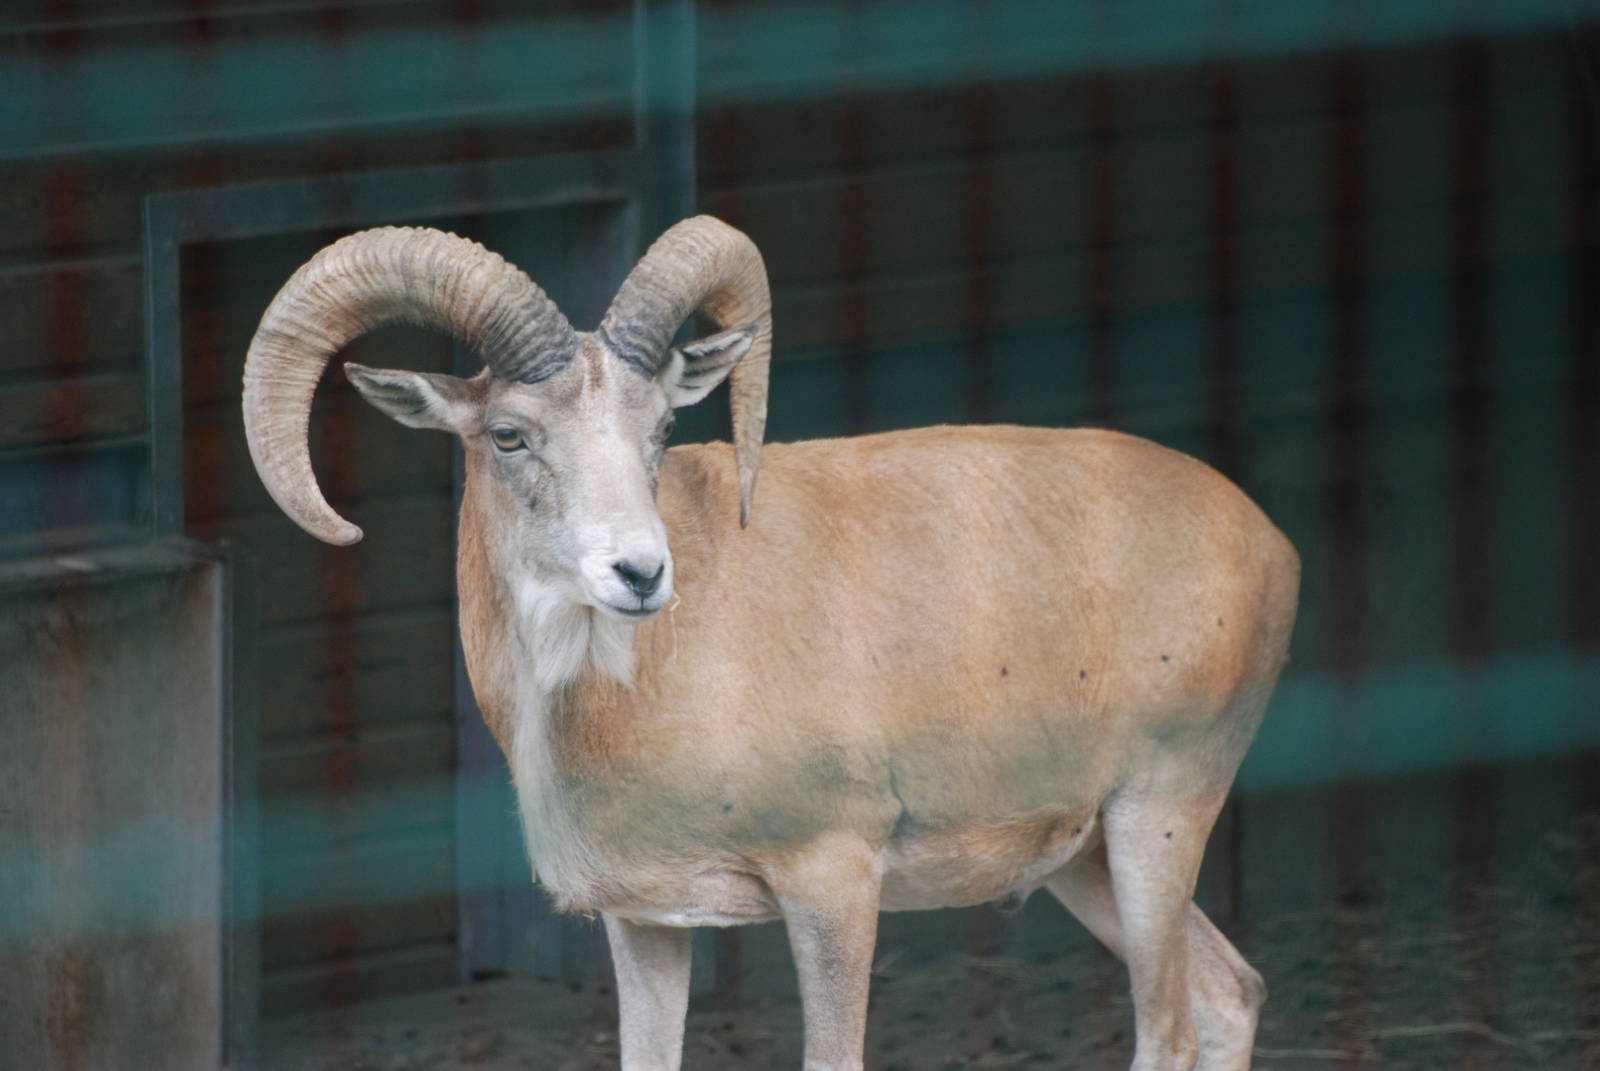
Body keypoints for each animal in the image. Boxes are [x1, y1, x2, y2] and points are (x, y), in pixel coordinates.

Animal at [242, 216, 1299, 1071]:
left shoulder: (832, 884)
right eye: (509, 435)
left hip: (1159, 818)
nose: (640, 573)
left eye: (661, 427)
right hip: (1087, 860)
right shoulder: (646, 924)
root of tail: (1267, 544)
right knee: (1230, 992)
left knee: (1171, 1029)